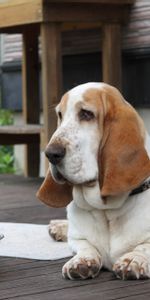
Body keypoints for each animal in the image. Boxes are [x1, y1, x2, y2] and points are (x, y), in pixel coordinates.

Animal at [36, 81, 150, 278]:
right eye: (60, 114)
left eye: (86, 114)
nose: (50, 154)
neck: (106, 209)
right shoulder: (78, 239)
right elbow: (84, 245)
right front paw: (82, 261)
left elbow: (144, 247)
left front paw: (133, 260)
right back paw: (59, 227)